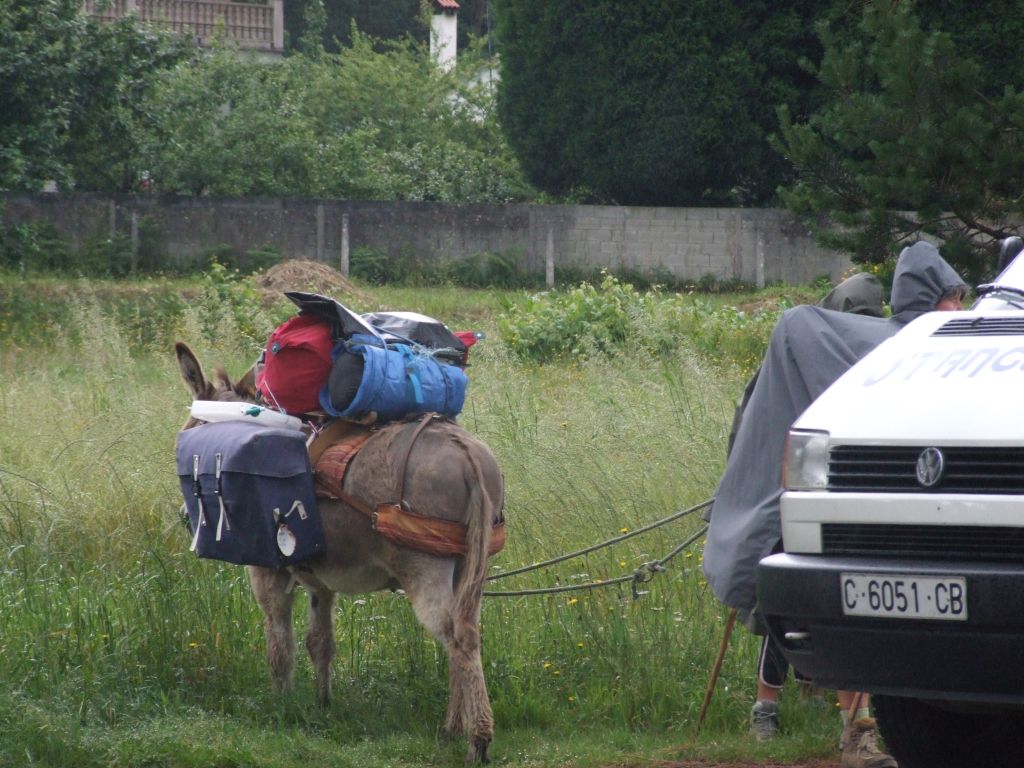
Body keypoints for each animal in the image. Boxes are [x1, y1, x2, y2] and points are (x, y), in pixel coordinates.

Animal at [174, 342, 504, 763]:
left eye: (191, 431)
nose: (187, 516)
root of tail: (465, 452)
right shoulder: (321, 582)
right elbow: (320, 642)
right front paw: (322, 704)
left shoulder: (267, 573)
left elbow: (280, 644)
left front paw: (282, 708)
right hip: (469, 565)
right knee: (467, 632)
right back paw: (453, 728)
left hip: (423, 567)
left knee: (460, 636)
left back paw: (477, 739)